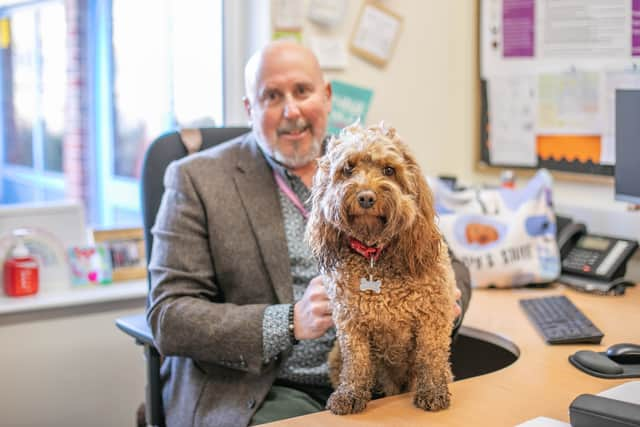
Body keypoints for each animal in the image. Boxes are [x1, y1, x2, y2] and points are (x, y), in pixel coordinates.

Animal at [308, 123, 458, 414]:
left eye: (389, 170)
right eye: (348, 168)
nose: (366, 197)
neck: (374, 255)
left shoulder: (434, 316)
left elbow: (430, 356)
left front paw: (432, 390)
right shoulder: (350, 324)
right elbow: (357, 362)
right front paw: (350, 394)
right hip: (335, 356)